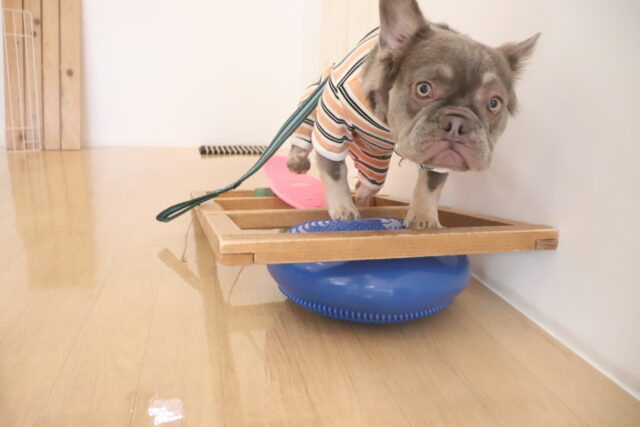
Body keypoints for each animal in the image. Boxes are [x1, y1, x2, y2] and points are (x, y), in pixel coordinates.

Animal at [287, 0, 539, 229]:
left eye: (494, 103)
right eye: (424, 89)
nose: (458, 122)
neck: (389, 126)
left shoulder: (436, 161)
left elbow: (430, 183)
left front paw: (423, 216)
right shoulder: (333, 128)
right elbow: (335, 170)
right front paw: (343, 208)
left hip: (375, 153)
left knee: (373, 178)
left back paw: (364, 191)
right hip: (310, 105)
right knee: (302, 135)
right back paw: (297, 160)